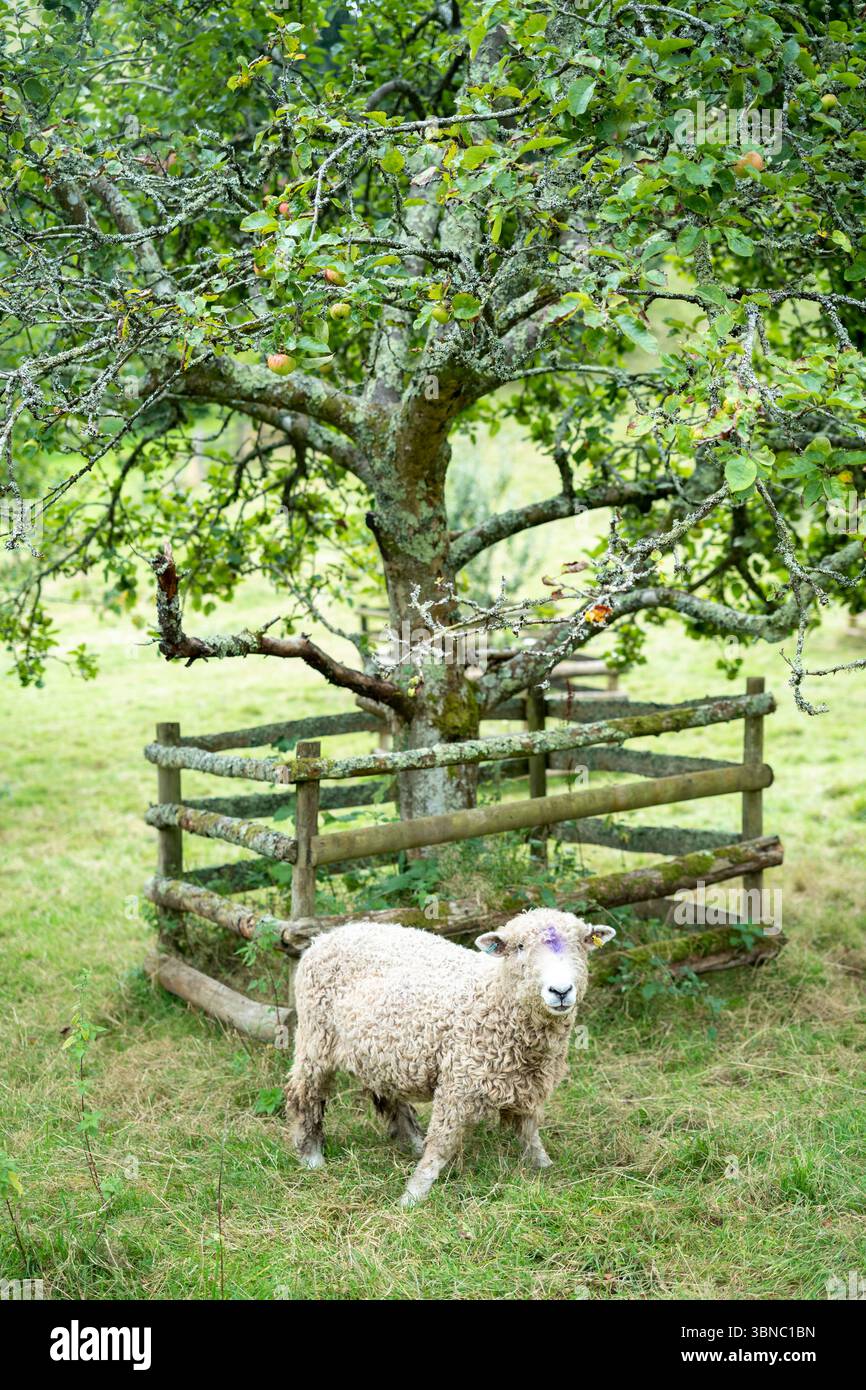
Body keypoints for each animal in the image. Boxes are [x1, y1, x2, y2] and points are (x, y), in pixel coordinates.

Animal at [284, 908, 616, 1206]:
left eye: (582, 944)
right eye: (519, 947)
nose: (560, 991)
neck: (494, 996)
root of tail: (330, 934)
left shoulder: (529, 1083)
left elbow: (529, 1131)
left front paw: (543, 1166)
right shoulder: (459, 1081)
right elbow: (442, 1143)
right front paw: (413, 1195)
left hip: (379, 1050)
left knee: (387, 1093)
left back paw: (412, 1142)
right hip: (315, 1036)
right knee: (302, 1093)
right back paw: (312, 1157)